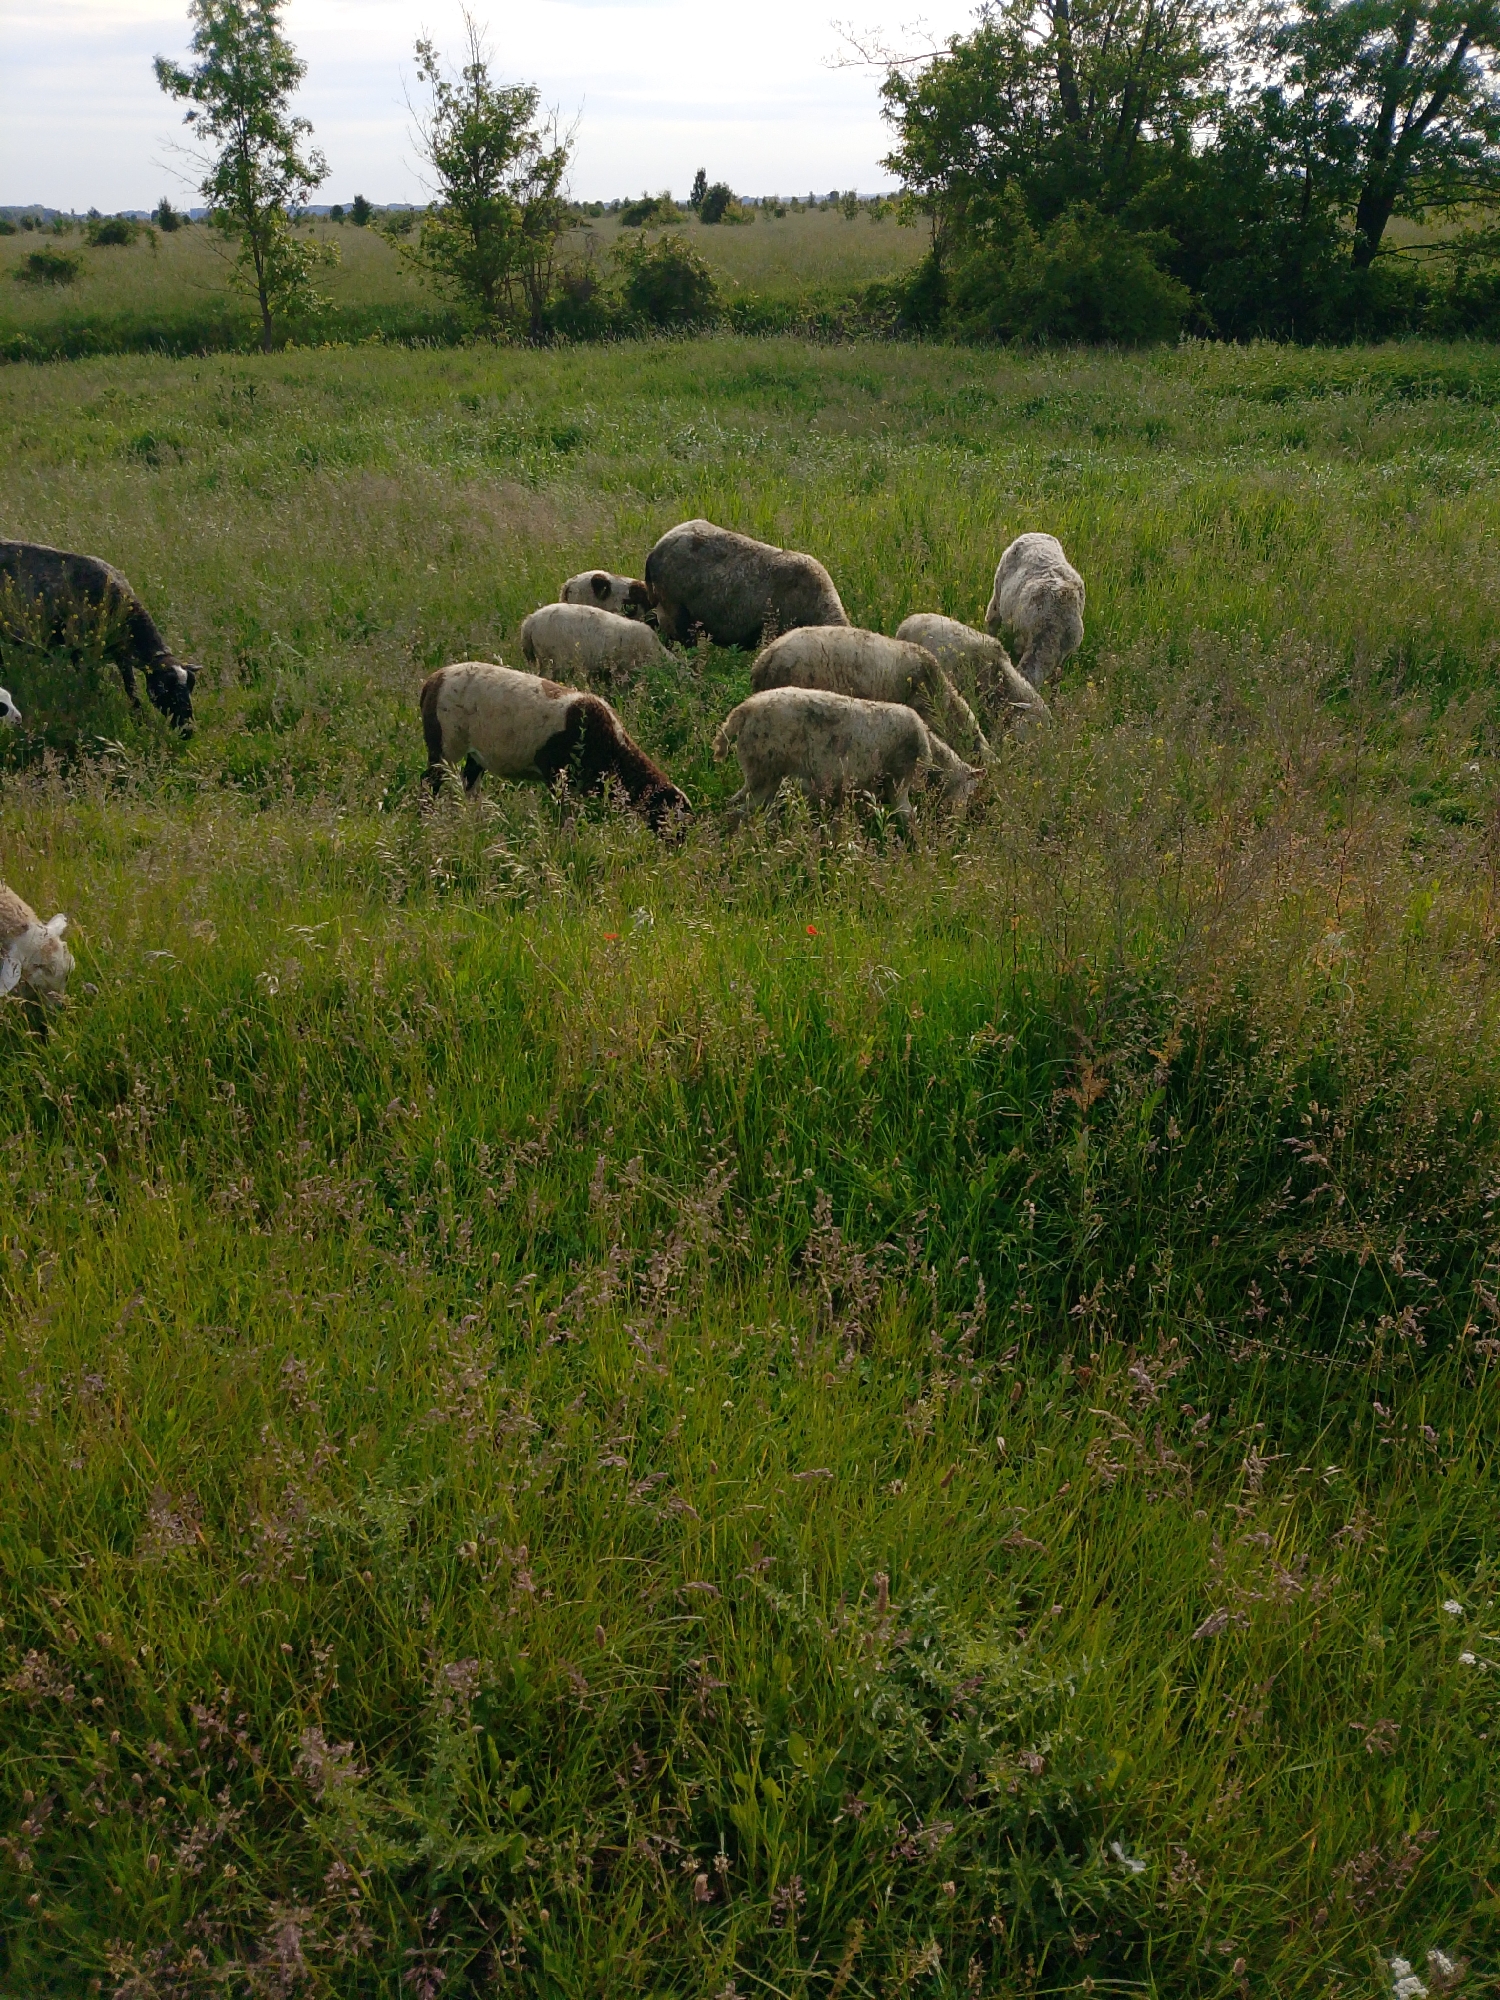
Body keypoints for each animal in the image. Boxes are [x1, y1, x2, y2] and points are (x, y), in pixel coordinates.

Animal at [0, 540, 198, 729]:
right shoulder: (81, 655)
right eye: (164, 687)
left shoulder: (122, 656)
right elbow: (93, 688)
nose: (187, 730)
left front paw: (140, 720)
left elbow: (132, 690)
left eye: (191, 686)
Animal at [420, 661, 689, 833]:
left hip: (475, 752)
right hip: (444, 743)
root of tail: (432, 682)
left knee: (469, 783)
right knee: (429, 781)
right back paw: (426, 821)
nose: (677, 847)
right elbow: (565, 817)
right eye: (671, 816)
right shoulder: (557, 775)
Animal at [712, 686, 980, 828]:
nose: (958, 822)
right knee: (739, 811)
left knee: (740, 807)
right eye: (967, 791)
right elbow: (908, 817)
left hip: (764, 775)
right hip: (764, 769)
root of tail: (743, 710)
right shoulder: (898, 781)